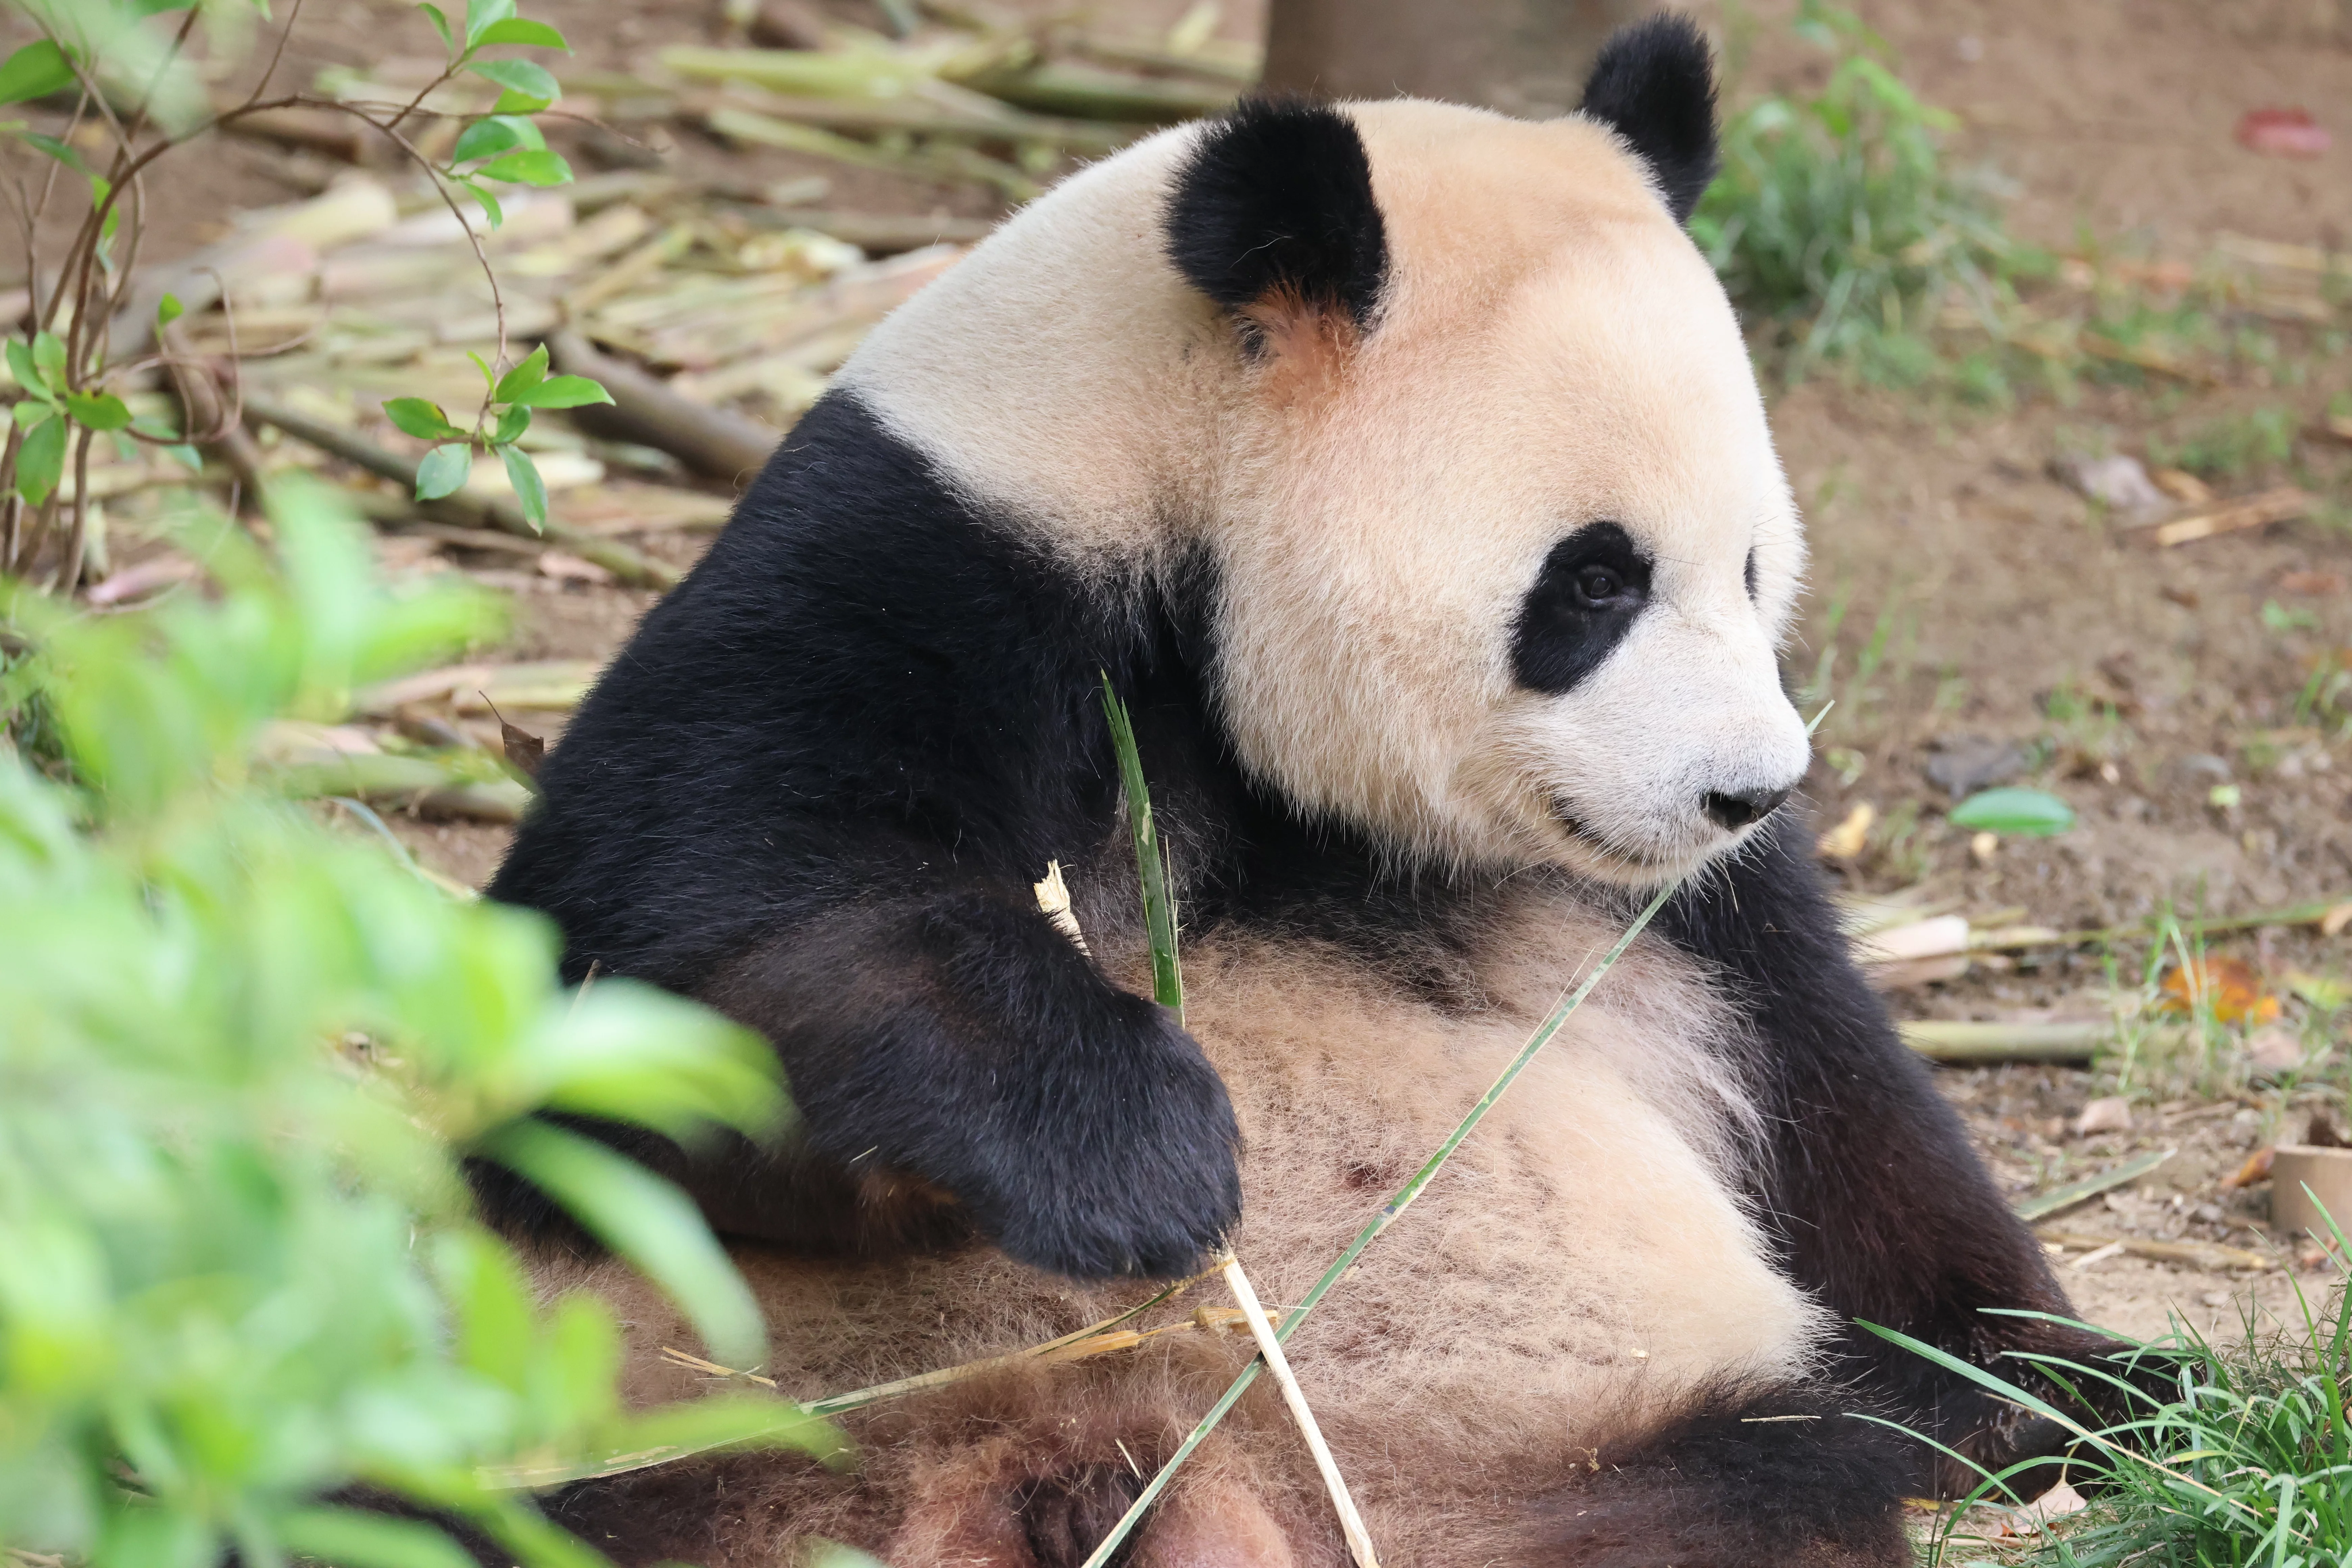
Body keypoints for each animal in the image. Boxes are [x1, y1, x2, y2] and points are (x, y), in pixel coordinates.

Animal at [485, 17, 2107, 1566]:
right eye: (1594, 580)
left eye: (1755, 566)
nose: (1750, 790)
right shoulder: (914, 571)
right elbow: (679, 968)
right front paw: (1135, 1151)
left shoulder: (1689, 915)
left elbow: (1838, 1110)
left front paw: (2069, 1377)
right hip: (695, 1459)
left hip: (1589, 1462)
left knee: (1785, 1475)